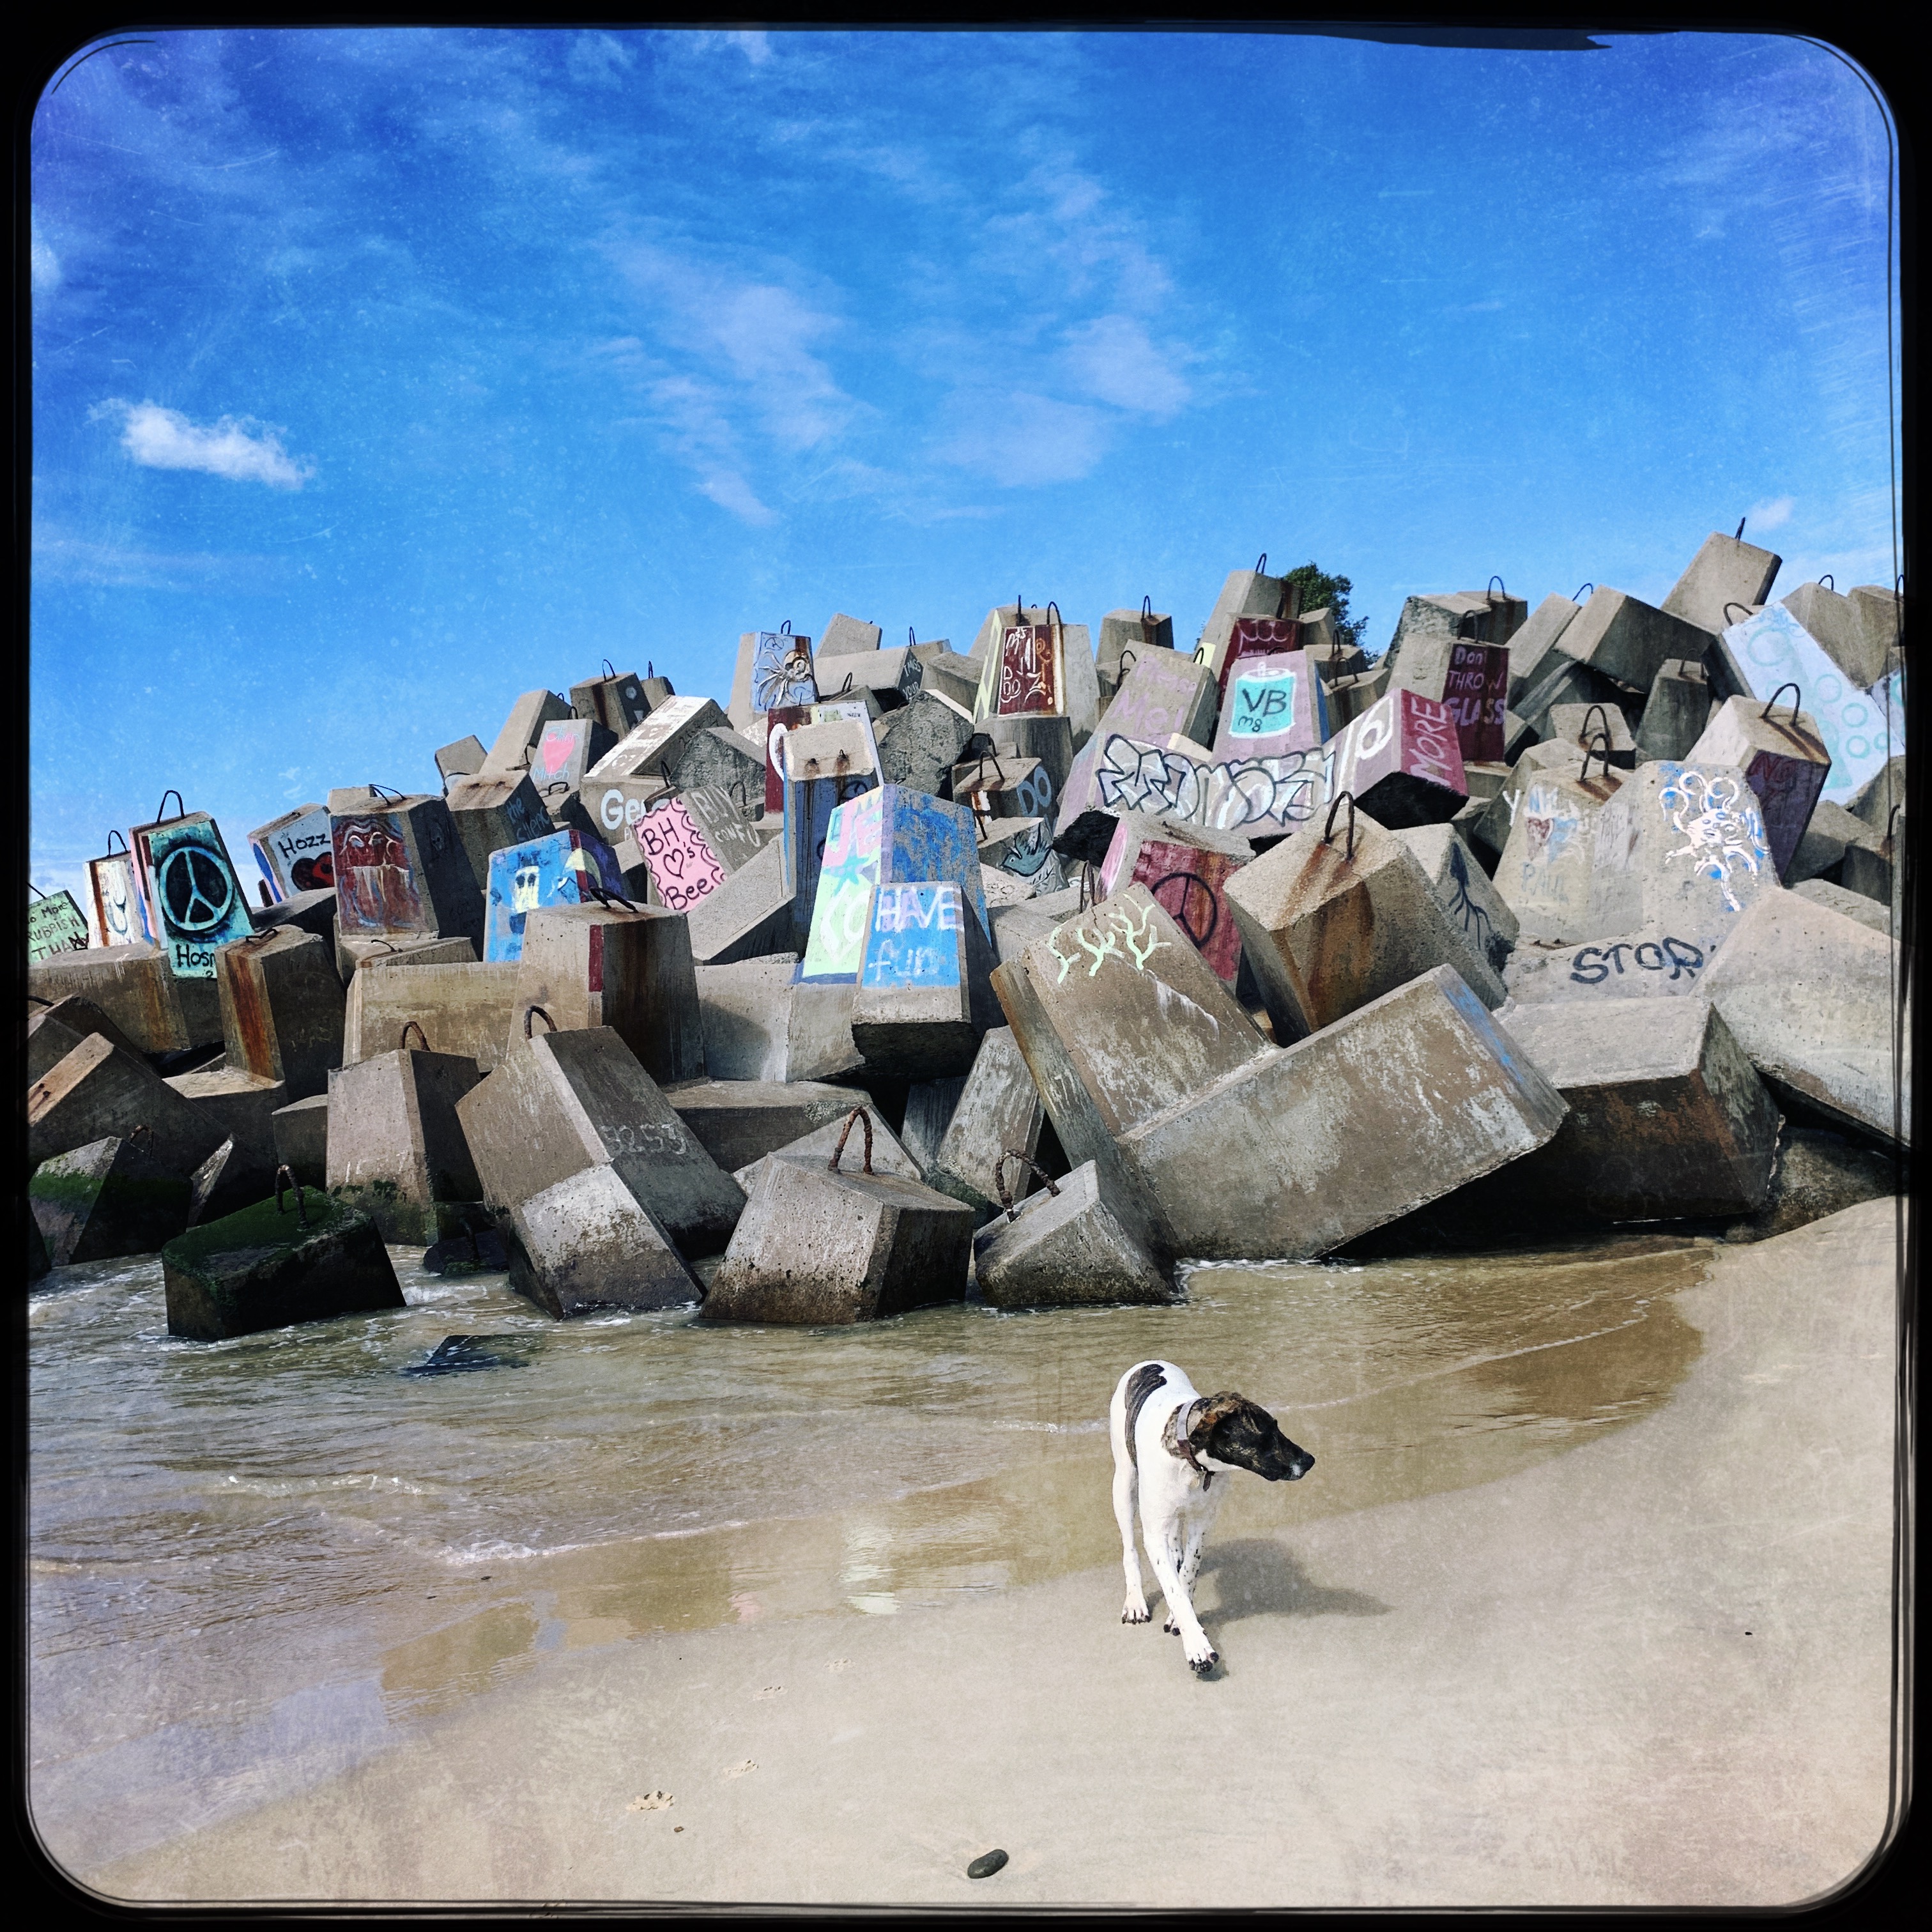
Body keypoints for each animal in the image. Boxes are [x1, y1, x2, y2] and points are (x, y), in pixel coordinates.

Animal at [1120, 1360, 1314, 1676]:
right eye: (1266, 1436)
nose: (1310, 1460)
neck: (1192, 1467)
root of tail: (1149, 1363)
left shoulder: (1202, 1524)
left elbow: (1188, 1573)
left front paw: (1178, 1616)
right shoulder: (1155, 1534)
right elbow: (1173, 1590)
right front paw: (1197, 1646)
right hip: (1123, 1485)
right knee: (1129, 1547)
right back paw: (1135, 1600)